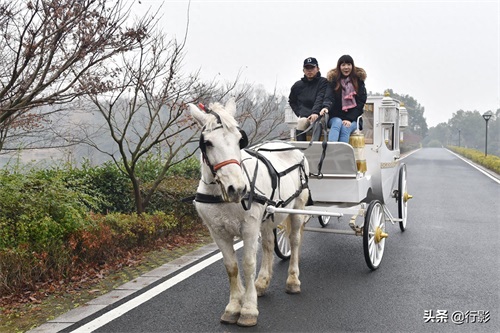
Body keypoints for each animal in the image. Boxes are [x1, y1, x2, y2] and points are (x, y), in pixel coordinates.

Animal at [188, 99, 310, 326]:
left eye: (239, 140)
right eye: (207, 143)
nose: (237, 189)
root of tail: (291, 146)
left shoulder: (250, 228)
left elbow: (248, 264)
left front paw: (248, 309)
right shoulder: (218, 233)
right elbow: (231, 267)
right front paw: (234, 305)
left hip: (297, 206)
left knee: (295, 240)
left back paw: (292, 279)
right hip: (268, 216)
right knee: (269, 244)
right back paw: (262, 283)